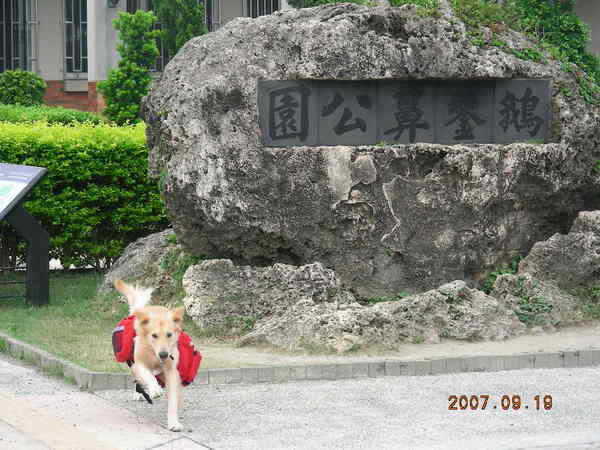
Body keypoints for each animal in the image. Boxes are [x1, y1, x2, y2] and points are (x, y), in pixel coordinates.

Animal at [113, 278, 186, 432]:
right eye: (154, 335)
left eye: (169, 335)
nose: (164, 354)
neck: (154, 353)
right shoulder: (139, 364)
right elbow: (148, 376)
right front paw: (155, 390)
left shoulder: (171, 371)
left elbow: (172, 399)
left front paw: (173, 422)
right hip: (132, 364)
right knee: (138, 380)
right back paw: (140, 392)